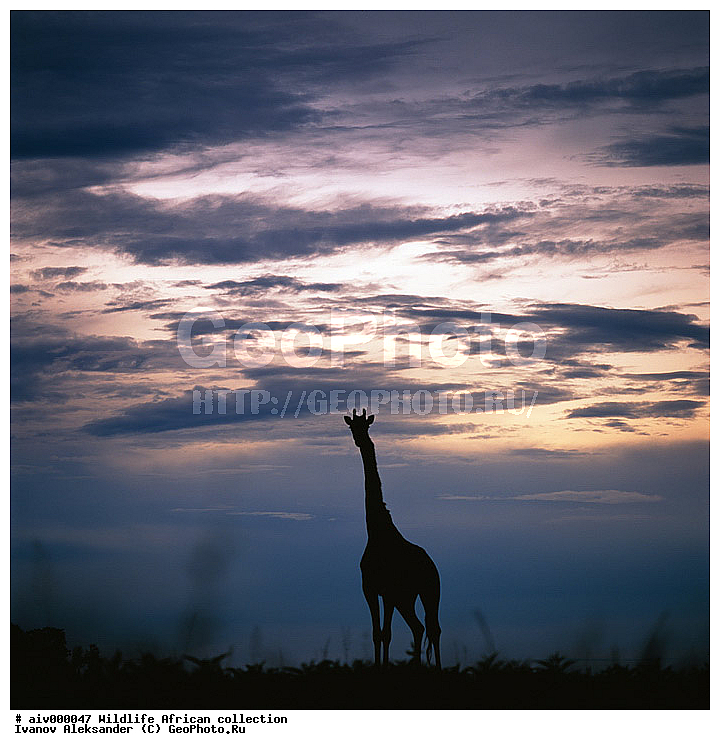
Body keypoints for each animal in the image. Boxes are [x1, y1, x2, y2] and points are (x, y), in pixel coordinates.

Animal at [344, 408, 441, 668]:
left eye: (366, 426)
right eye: (351, 427)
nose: (360, 439)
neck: (377, 532)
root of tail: (432, 565)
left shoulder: (383, 590)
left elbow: (385, 633)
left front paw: (383, 666)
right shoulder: (372, 589)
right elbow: (377, 633)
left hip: (427, 591)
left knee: (431, 628)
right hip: (409, 597)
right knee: (421, 628)